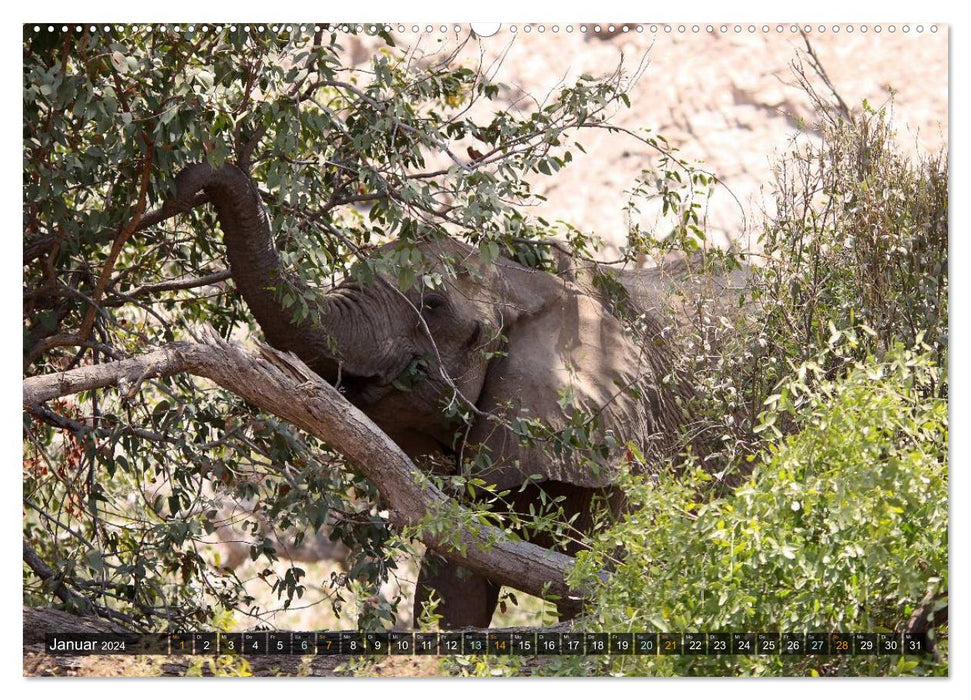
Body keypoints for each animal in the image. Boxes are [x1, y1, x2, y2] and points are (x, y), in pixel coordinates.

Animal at [175, 164, 692, 628]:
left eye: (433, 304)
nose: (185, 182)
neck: (524, 282)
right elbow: (453, 584)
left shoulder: (622, 441)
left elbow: (610, 580)